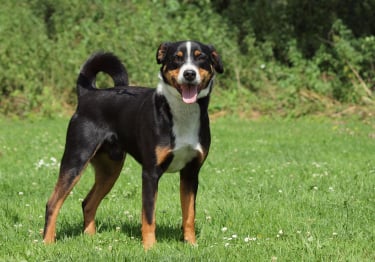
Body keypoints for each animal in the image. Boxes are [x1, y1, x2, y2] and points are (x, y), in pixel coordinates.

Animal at [43, 40, 226, 249]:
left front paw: (191, 244)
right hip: (76, 159)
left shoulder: (191, 173)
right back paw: (47, 242)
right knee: (53, 203)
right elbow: (148, 216)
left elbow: (189, 215)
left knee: (88, 203)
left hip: (110, 169)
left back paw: (90, 239)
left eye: (200, 57)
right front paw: (150, 248)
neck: (182, 114)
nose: (189, 74)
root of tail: (88, 94)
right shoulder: (150, 173)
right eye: (176, 58)